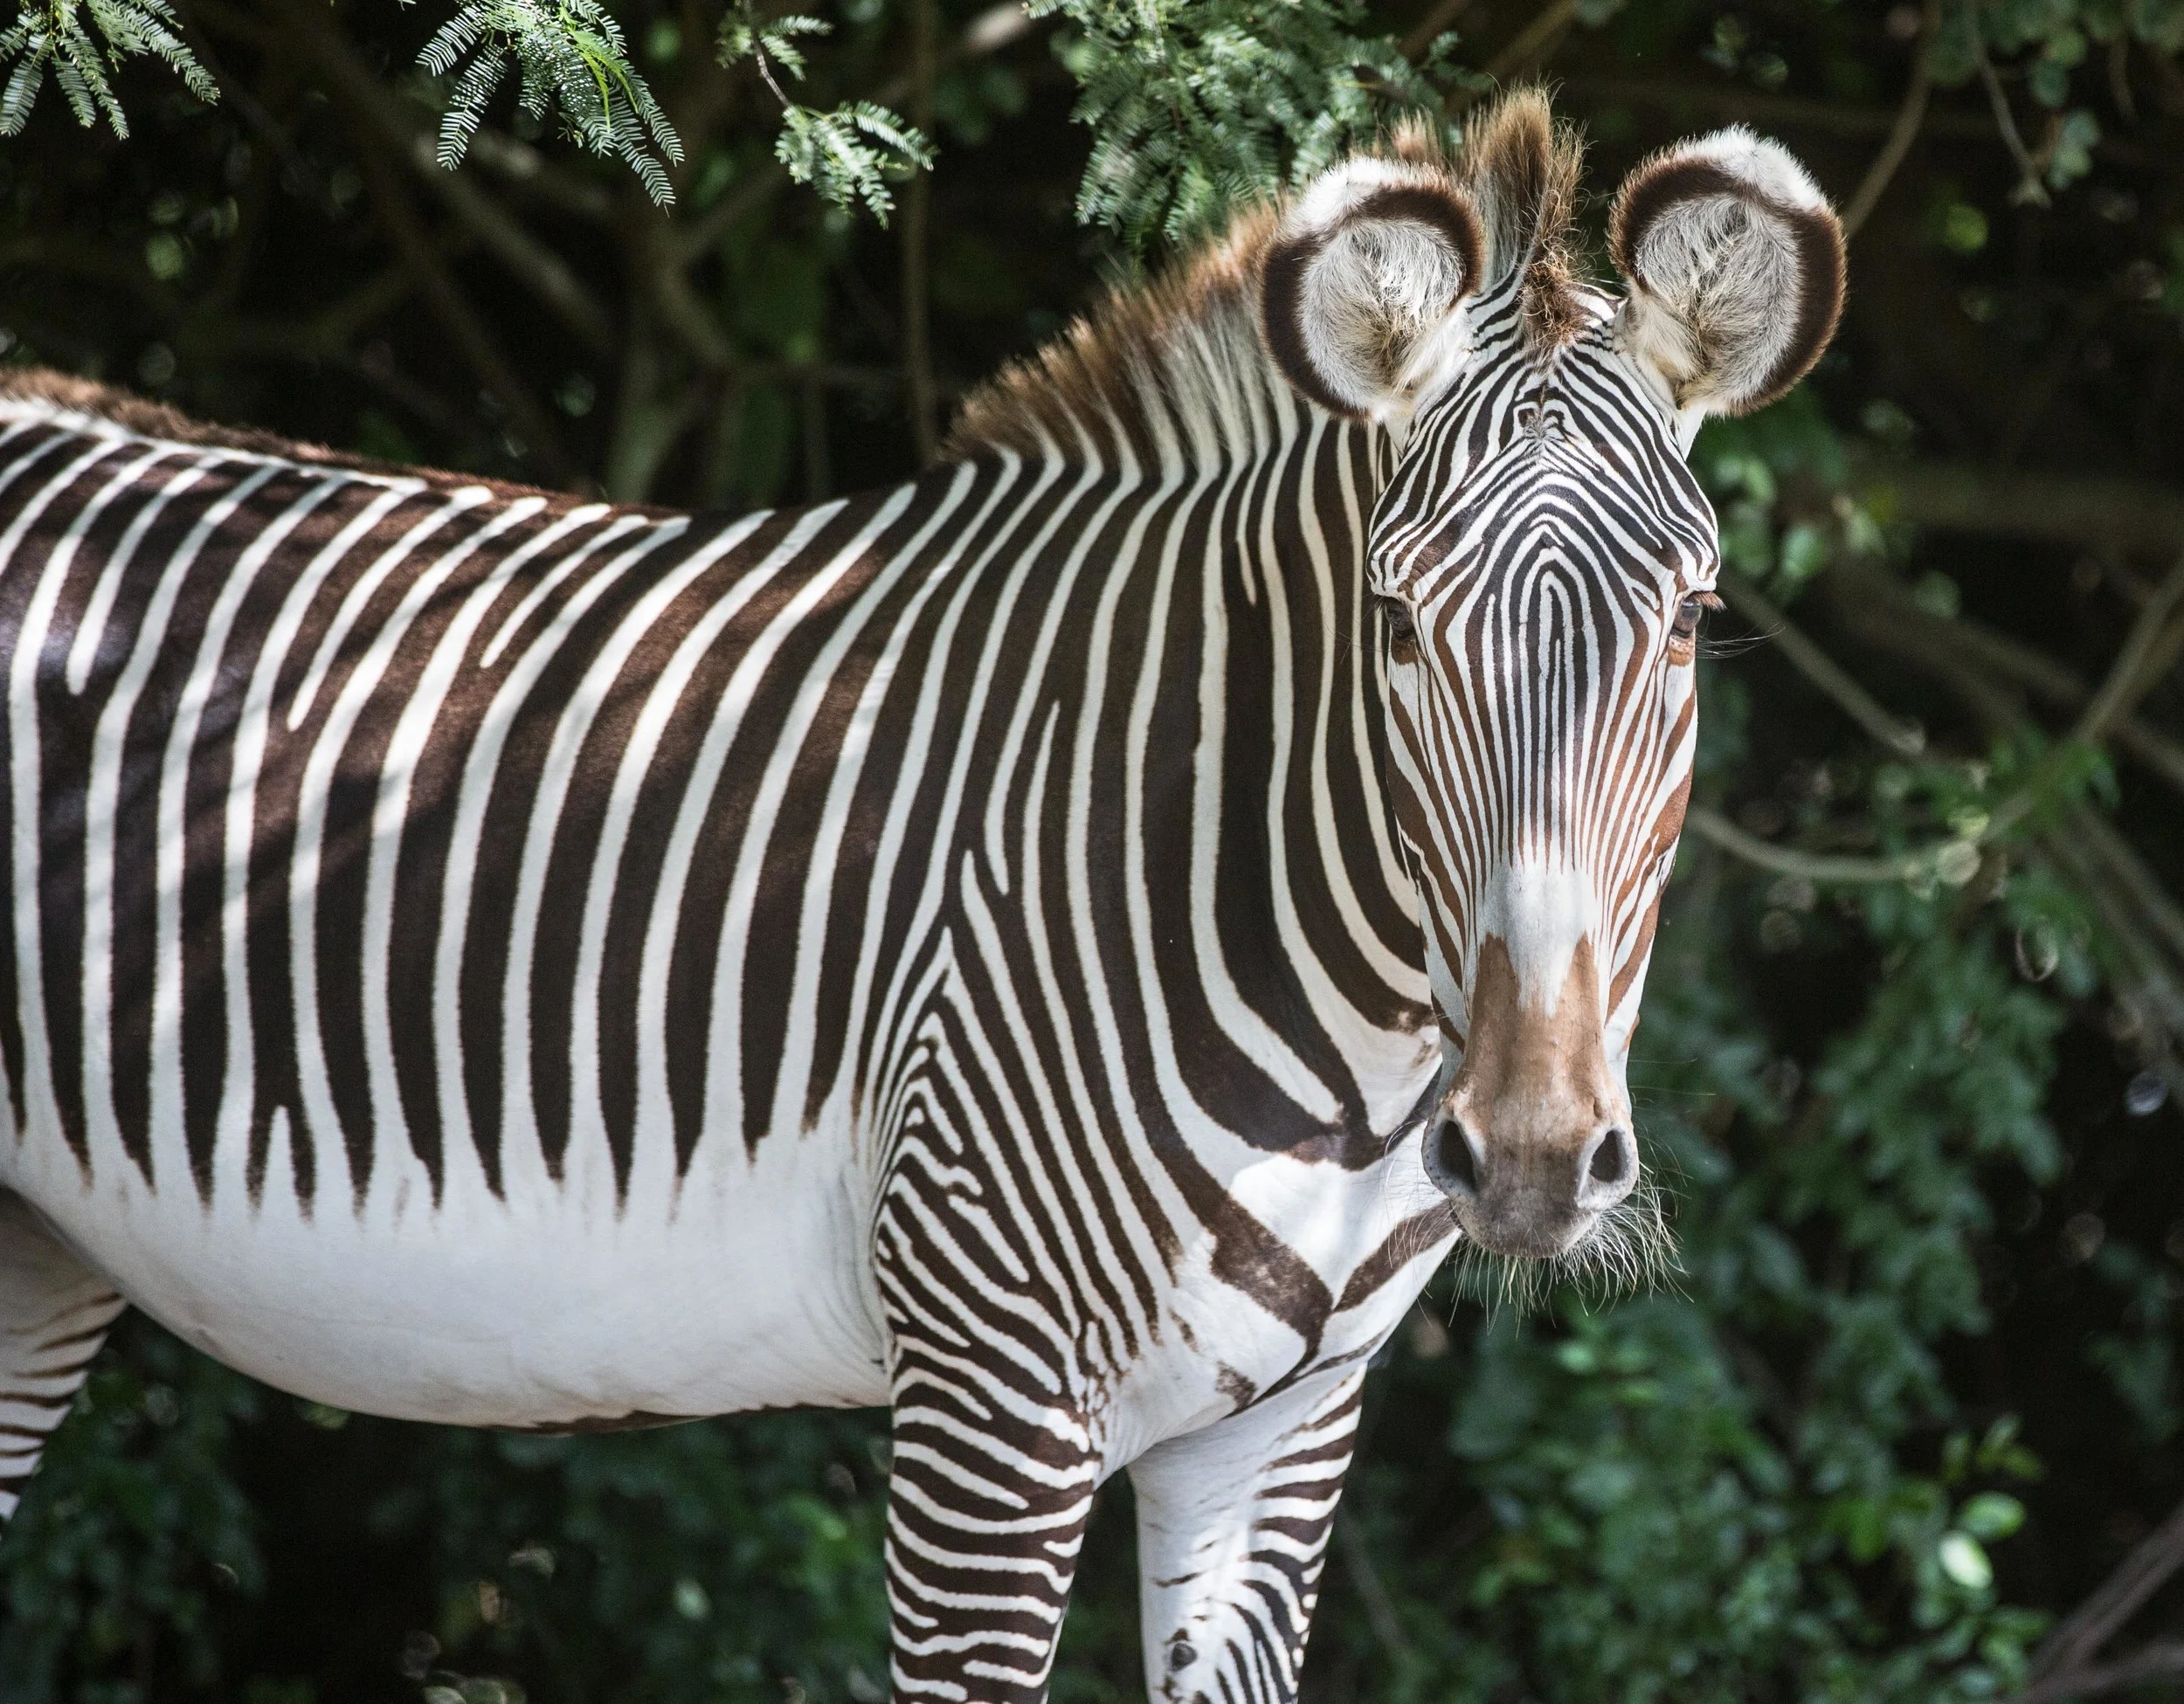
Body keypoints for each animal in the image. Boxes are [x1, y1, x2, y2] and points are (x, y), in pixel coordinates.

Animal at [0, 93, 1841, 1702]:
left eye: (1688, 625)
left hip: (44, 1251)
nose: (1529, 1153)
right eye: (1395, 625)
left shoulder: (1278, 1431)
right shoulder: (990, 1401)